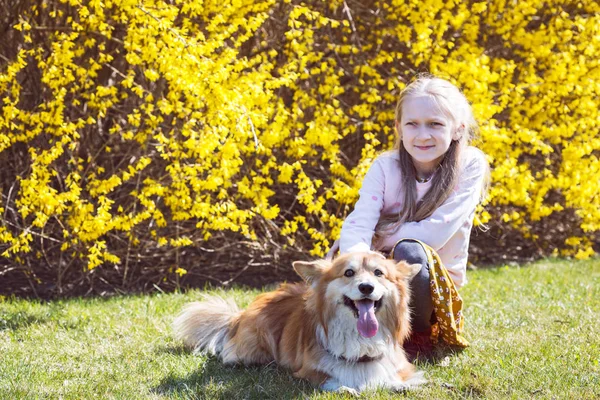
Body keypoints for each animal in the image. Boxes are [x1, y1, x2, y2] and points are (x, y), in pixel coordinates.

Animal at [173, 252, 426, 392]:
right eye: (349, 273)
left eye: (378, 273)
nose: (366, 287)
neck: (359, 340)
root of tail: (239, 316)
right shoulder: (308, 371)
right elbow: (329, 379)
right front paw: (346, 388)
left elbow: (392, 376)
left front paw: (397, 384)